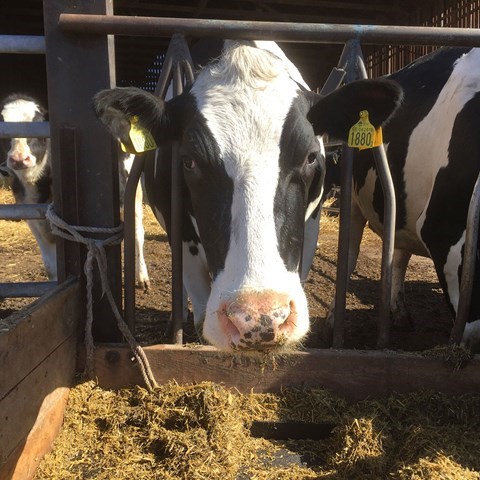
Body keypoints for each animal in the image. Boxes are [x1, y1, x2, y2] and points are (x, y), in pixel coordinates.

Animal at [0, 94, 150, 288]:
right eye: (4, 129)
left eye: (38, 123)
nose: (19, 159)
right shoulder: (33, 219)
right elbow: (50, 267)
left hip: (133, 191)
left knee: (137, 232)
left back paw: (142, 276)